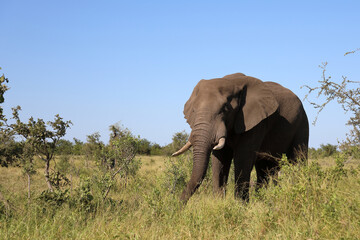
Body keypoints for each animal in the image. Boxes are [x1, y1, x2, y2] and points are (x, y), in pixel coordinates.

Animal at [173, 72, 308, 202]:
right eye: (193, 111)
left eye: (225, 109)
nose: (178, 205)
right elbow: (220, 159)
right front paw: (218, 203)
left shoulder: (256, 122)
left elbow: (243, 157)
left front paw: (240, 205)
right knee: (264, 168)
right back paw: (263, 200)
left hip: (302, 123)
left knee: (297, 161)